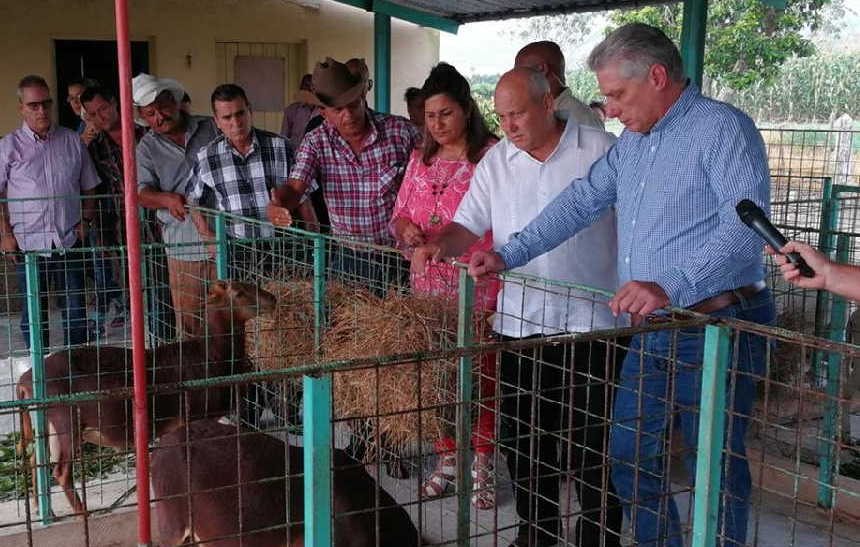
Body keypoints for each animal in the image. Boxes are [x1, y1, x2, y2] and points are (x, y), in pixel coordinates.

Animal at [15, 280, 276, 516]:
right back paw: (82, 513)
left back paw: (41, 509)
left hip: (45, 424)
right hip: (65, 421)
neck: (210, 354)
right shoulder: (191, 416)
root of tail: (25, 381)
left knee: (35, 459)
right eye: (239, 292)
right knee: (60, 471)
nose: (272, 299)